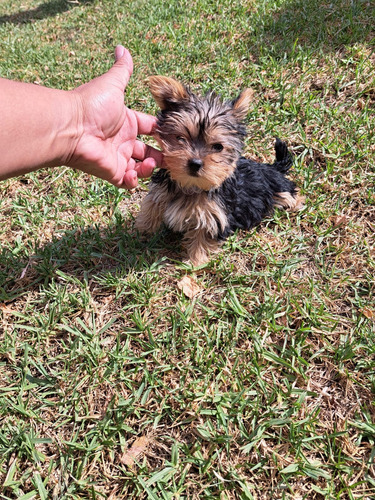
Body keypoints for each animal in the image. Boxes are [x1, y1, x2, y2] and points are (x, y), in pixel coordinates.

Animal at [137, 76, 304, 264]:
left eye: (218, 147)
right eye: (180, 138)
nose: (195, 163)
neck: (191, 185)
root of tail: (272, 168)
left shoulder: (213, 216)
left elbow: (203, 237)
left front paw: (196, 262)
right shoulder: (161, 192)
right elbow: (152, 206)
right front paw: (142, 230)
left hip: (278, 189)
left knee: (290, 193)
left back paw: (297, 203)